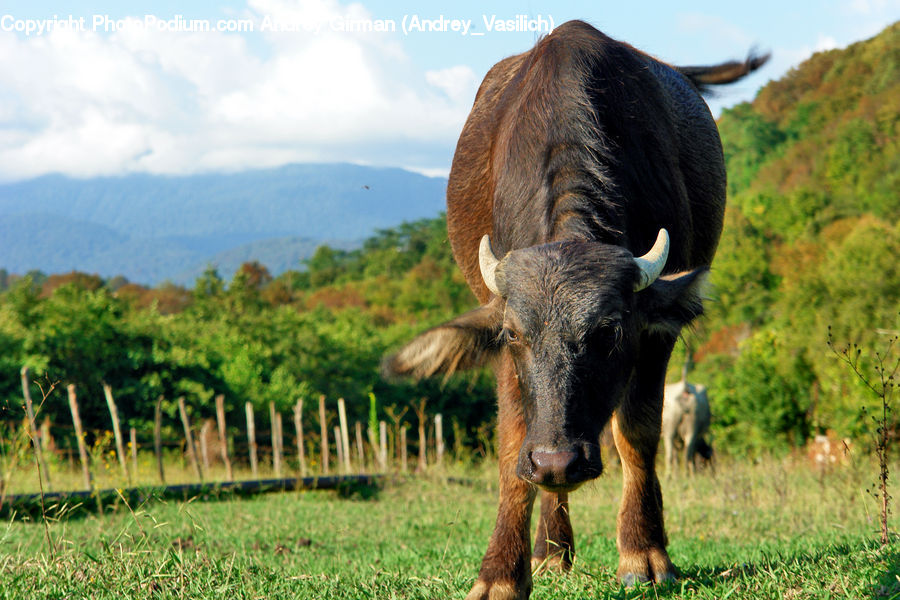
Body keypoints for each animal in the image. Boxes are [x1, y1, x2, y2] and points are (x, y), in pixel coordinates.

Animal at [384, 20, 766, 599]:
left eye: (608, 332)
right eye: (515, 335)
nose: (556, 460)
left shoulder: (654, 338)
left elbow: (636, 435)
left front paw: (643, 553)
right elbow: (511, 446)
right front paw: (502, 572)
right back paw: (551, 551)